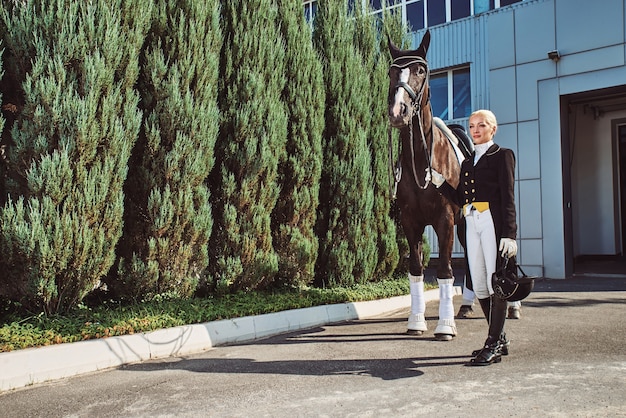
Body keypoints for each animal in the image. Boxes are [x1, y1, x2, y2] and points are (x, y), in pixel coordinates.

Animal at [388, 31, 470, 342]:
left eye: (420, 70)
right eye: (392, 71)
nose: (397, 112)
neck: (422, 160)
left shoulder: (444, 220)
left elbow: (445, 270)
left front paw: (445, 327)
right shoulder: (411, 221)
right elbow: (415, 269)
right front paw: (416, 321)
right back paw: (468, 305)